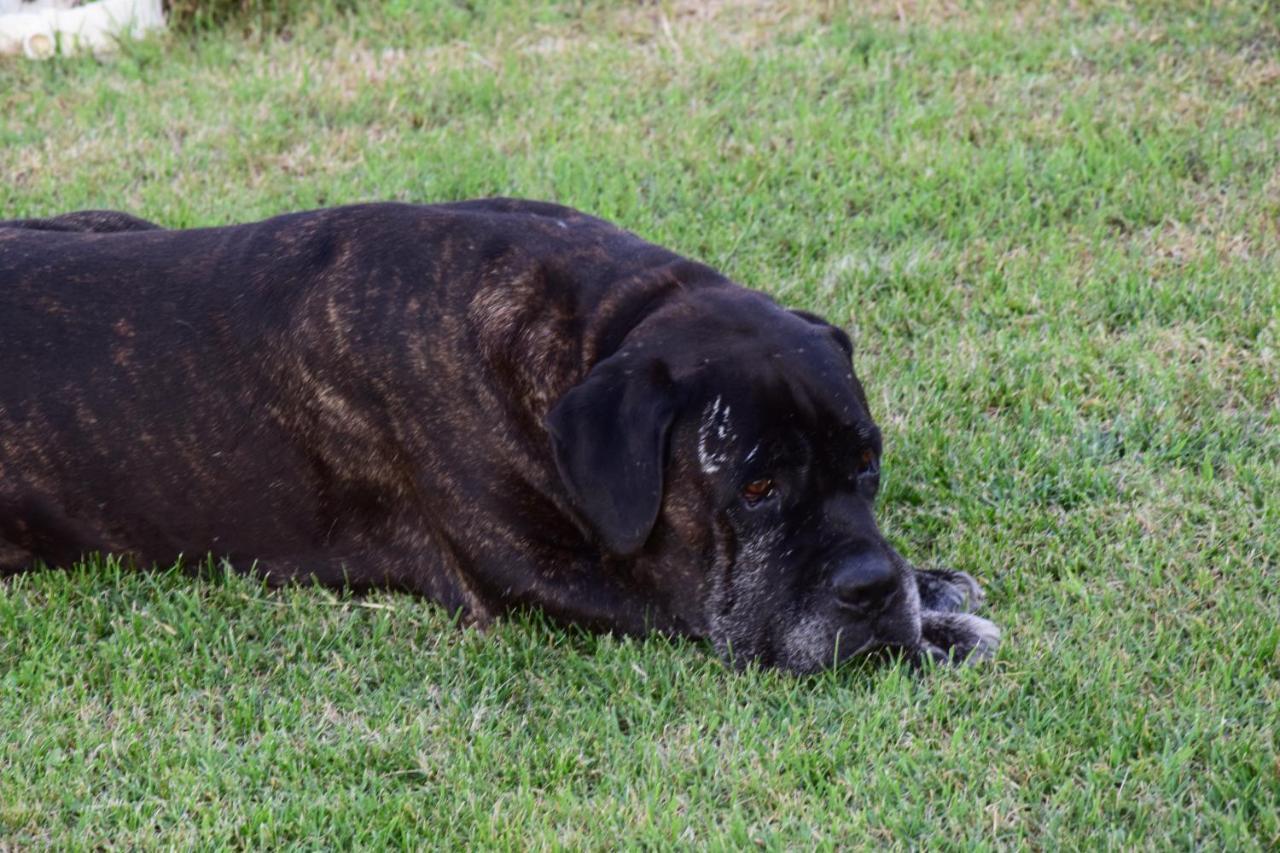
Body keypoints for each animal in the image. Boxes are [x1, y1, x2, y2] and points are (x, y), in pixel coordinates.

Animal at [0, 199, 998, 671]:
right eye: (754, 488)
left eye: (866, 467)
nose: (871, 588)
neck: (600, 329)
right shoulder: (529, 579)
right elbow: (675, 602)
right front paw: (942, 633)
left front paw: (926, 585)